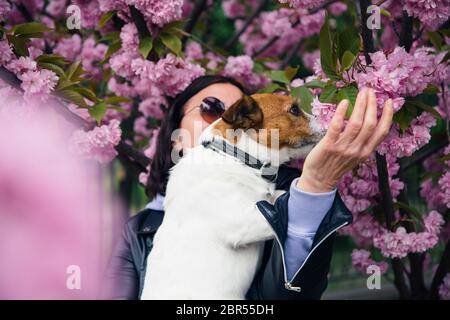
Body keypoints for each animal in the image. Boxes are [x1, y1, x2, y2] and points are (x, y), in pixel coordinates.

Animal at [141, 92, 324, 300]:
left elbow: (274, 196)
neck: (235, 158)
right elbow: (280, 202)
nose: (325, 119)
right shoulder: (245, 219)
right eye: (294, 109)